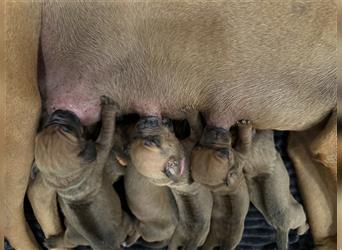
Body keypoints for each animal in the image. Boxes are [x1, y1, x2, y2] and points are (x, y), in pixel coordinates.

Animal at [31, 96, 134, 250]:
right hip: (125, 220)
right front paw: (109, 110)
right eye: (67, 129)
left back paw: (53, 241)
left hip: (73, 236)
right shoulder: (101, 149)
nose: (59, 111)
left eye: (46, 126)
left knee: (67, 240)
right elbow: (107, 130)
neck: (67, 180)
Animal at [129, 113, 211, 250]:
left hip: (174, 241)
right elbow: (196, 125)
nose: (143, 122)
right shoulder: (194, 138)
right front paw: (191, 112)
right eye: (154, 142)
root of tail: (191, 240)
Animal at [192, 121, 310, 250]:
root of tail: (282, 228)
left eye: (204, 146)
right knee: (302, 224)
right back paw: (305, 228)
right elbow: (259, 135)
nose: (214, 130)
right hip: (299, 212)